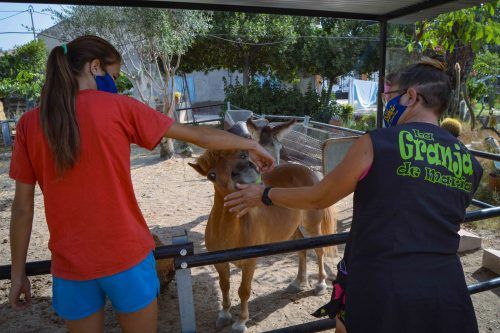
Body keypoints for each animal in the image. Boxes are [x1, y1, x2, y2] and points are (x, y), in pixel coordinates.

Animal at [189, 150, 338, 332]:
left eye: (242, 155)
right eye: (212, 175)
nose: (246, 168)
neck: (227, 230)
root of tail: (306, 170)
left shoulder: (249, 263)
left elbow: (243, 291)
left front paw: (240, 322)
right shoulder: (220, 264)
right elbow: (224, 286)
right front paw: (224, 315)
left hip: (312, 226)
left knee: (319, 252)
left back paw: (321, 284)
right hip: (293, 229)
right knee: (301, 251)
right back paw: (298, 283)